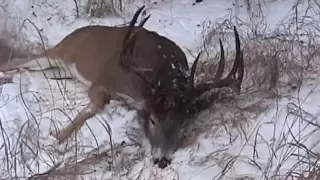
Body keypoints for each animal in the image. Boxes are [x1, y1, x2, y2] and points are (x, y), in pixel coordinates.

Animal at [0, 5, 244, 169]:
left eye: (182, 122)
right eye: (152, 120)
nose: (162, 160)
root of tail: (75, 32)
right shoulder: (103, 81)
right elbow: (97, 103)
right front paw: (59, 136)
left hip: (59, 71)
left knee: (27, 70)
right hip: (60, 53)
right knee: (17, 61)